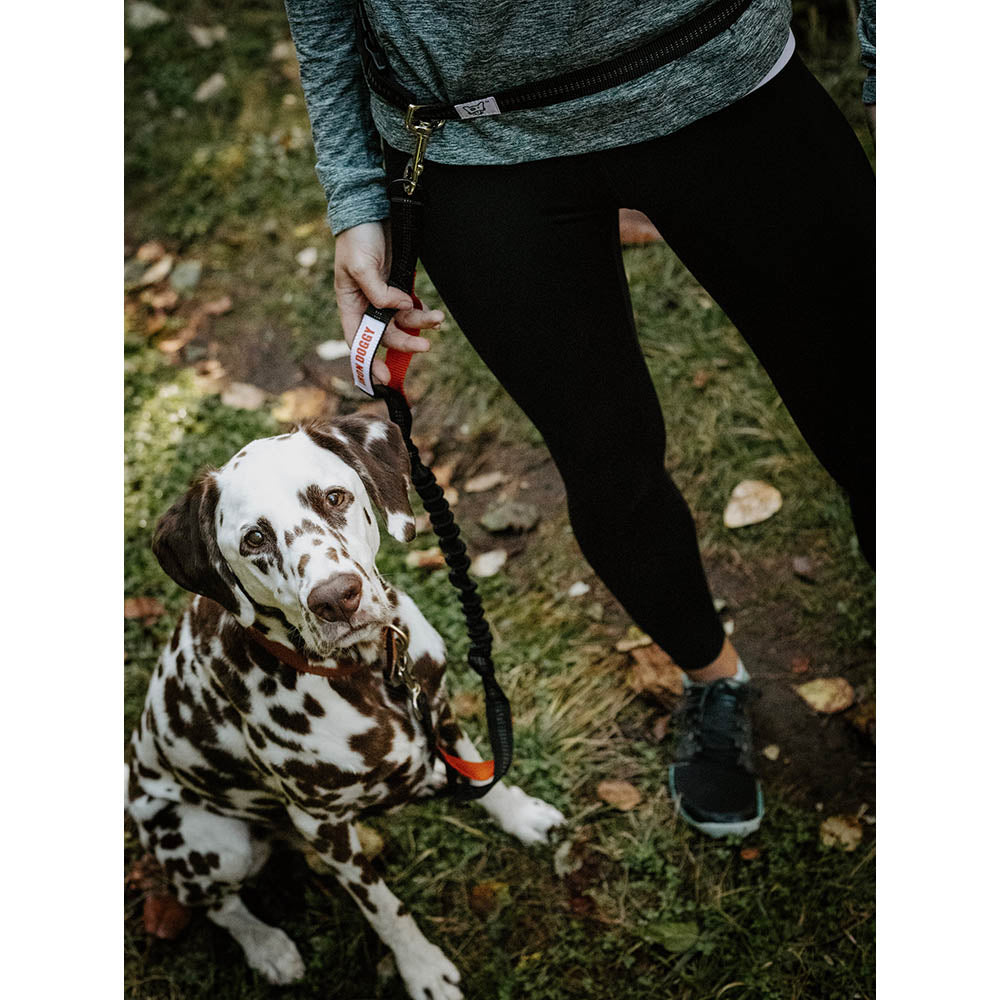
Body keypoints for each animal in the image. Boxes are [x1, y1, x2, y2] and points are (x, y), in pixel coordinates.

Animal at [126, 414, 568, 1000]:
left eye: (334, 496)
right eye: (254, 538)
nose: (336, 597)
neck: (367, 673)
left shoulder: (439, 709)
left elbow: (485, 777)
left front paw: (521, 816)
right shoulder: (325, 828)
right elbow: (384, 908)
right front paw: (421, 968)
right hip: (212, 843)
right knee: (219, 906)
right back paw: (267, 947)